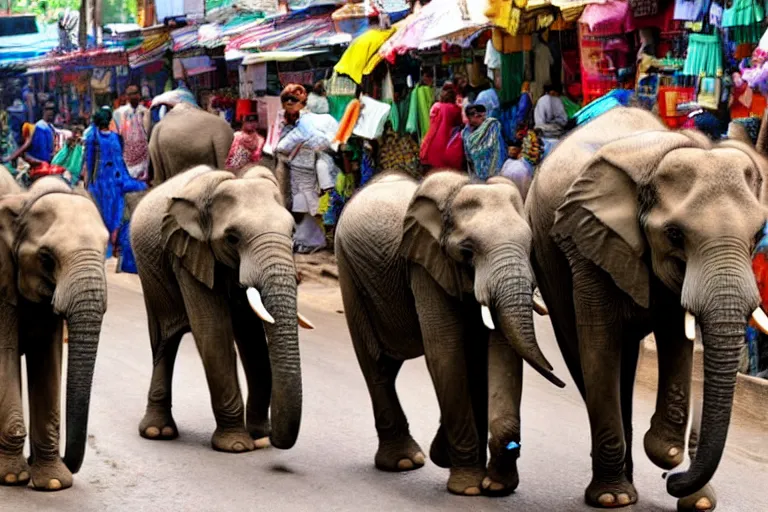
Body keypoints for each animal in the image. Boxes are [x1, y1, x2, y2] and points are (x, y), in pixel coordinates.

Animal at [0, 177, 109, 492]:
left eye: (105, 249)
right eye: (46, 258)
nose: (67, 460)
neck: (23, 202)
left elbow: (47, 361)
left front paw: (52, 481)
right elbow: (5, 355)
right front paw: (12, 477)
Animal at [131, 164, 308, 452]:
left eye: (292, 232)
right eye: (233, 238)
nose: (273, 439)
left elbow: (253, 339)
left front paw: (259, 438)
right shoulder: (189, 252)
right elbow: (212, 331)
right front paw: (236, 445)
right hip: (149, 274)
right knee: (165, 340)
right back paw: (158, 431)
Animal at [336, 171, 564, 496]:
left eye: (530, 244)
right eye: (467, 251)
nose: (560, 378)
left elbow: (500, 354)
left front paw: (496, 485)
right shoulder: (424, 266)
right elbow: (445, 351)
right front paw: (468, 487)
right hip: (348, 273)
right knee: (377, 365)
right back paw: (405, 462)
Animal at [528, 106, 768, 510]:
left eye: (756, 235)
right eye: (674, 235)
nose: (673, 482)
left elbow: (677, 338)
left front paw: (672, 461)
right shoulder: (589, 242)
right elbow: (599, 345)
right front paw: (629, 483)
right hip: (548, 259)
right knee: (581, 352)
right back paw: (618, 490)